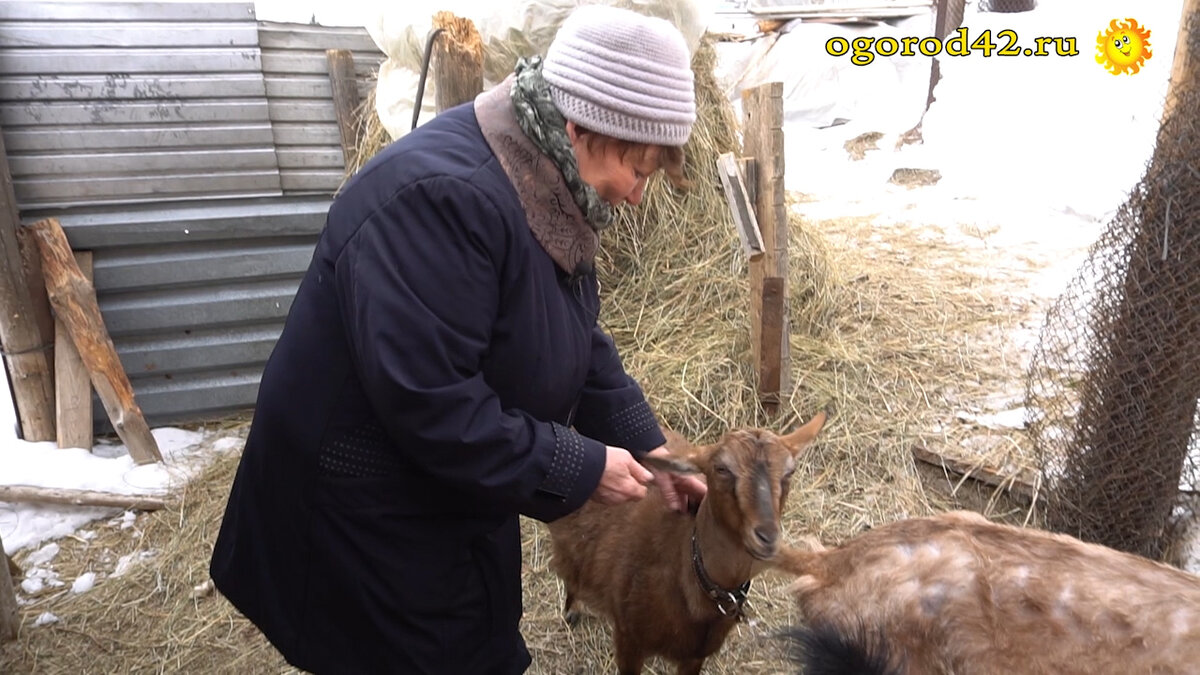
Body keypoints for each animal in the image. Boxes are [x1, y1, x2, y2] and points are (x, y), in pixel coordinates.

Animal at [549, 410, 825, 672]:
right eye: (721, 469)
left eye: (790, 472)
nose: (767, 537)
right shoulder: (628, 640)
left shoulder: (696, 655)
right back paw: (573, 608)